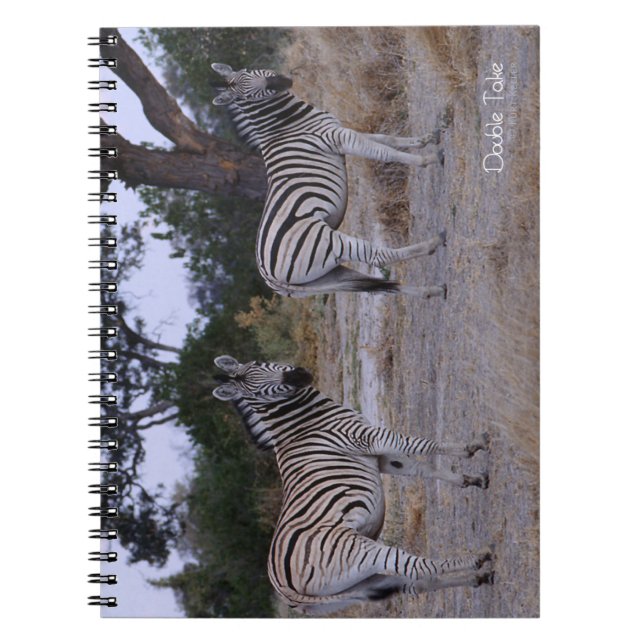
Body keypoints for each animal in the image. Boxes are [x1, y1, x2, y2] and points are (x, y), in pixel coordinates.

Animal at [211, 63, 448, 299]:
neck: (286, 124)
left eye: (249, 71)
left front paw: (427, 139)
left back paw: (433, 290)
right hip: (329, 244)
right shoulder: (338, 137)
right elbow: (384, 152)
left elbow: (387, 139)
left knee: (384, 286)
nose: (281, 82)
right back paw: (435, 242)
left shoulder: (340, 131)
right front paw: (427, 159)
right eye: (247, 95)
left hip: (326, 277)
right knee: (378, 257)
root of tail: (268, 277)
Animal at [212, 355, 494, 615]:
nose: (300, 376)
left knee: (413, 583)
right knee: (414, 565)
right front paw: (475, 445)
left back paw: (477, 578)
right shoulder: (368, 438)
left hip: (358, 586)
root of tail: (285, 591)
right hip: (360, 552)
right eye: (257, 392)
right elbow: (421, 445)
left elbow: (422, 468)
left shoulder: (380, 456)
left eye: (260, 364)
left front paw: (470, 479)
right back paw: (479, 560)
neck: (304, 423)